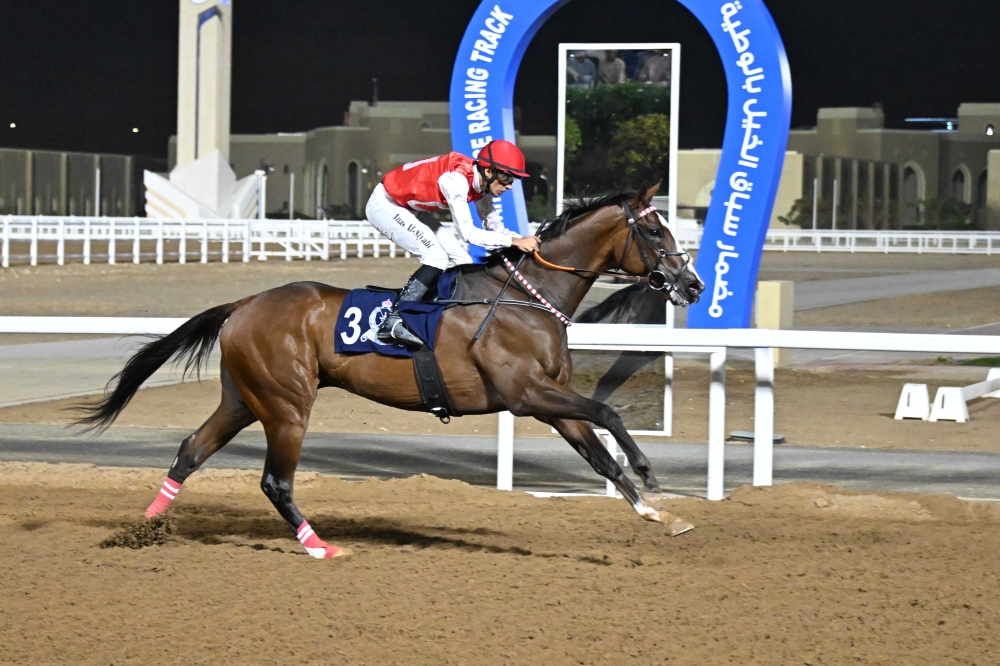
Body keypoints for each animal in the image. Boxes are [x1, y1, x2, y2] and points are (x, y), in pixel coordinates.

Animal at [77, 182, 705, 559]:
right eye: (655, 230)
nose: (693, 284)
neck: (528, 297)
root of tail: (244, 303)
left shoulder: (549, 397)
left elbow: (598, 451)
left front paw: (657, 512)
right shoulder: (526, 393)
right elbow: (608, 413)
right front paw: (651, 473)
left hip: (243, 398)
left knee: (190, 451)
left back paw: (144, 527)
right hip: (286, 404)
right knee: (275, 480)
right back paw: (319, 547)